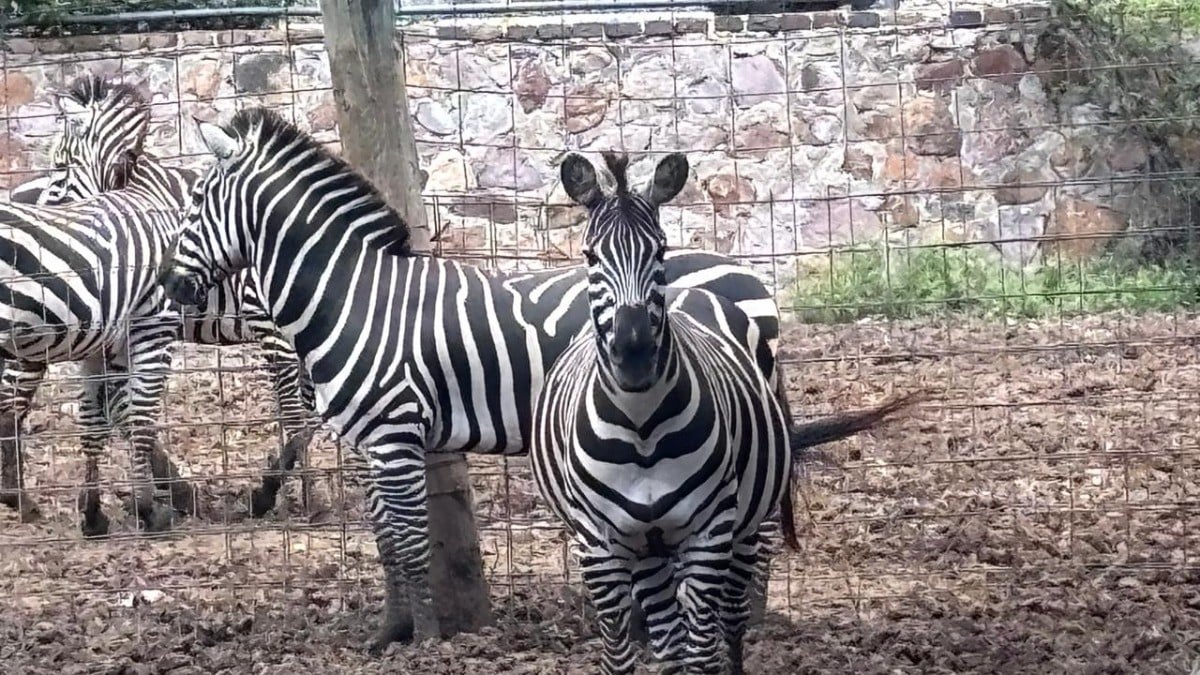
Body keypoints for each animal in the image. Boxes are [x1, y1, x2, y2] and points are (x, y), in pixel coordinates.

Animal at [0, 75, 320, 520]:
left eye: (61, 168)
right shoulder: (270, 322)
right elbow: (298, 412)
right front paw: (295, 493)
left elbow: (311, 411)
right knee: (18, 402)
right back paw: (22, 497)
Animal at [157, 107, 920, 651]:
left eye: (195, 205)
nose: (168, 283)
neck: (353, 295)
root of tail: (753, 279)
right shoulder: (373, 437)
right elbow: (384, 540)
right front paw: (389, 632)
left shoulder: (397, 432)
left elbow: (409, 541)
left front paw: (426, 640)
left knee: (751, 531)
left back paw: (748, 620)